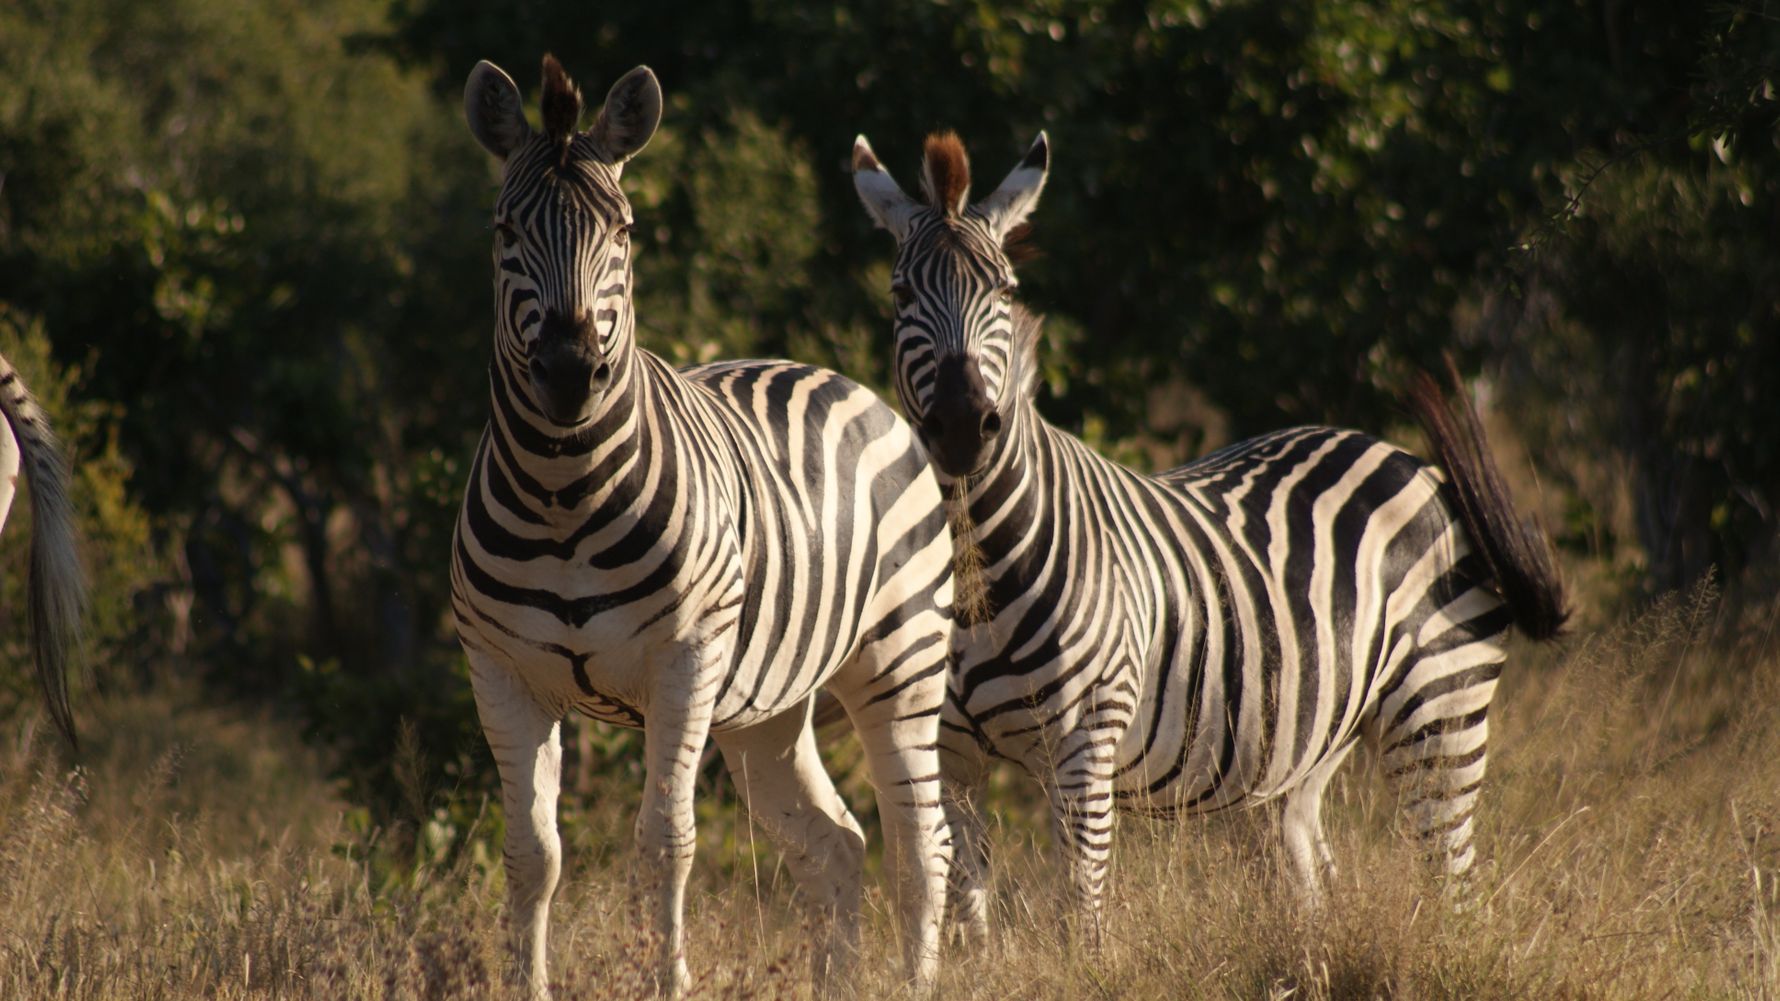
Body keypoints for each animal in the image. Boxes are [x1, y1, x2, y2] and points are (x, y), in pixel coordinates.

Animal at [454, 56, 954, 997]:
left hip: (901, 662)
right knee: (836, 843)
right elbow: (532, 855)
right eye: (504, 229)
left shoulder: (683, 661)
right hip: (767, 708)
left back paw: (916, 979)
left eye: (623, 231)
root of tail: (832, 374)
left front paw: (667, 978)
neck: (562, 493)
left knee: (921, 848)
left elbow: (665, 845)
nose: (569, 373)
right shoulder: (501, 671)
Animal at [851, 130, 1566, 941]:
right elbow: (971, 921)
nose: (964, 428)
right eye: (901, 296)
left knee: (1455, 888)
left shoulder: (1085, 744)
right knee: (1315, 878)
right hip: (1300, 749)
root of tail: (1410, 461)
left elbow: (1081, 920)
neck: (978, 573)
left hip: (1440, 710)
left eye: (1003, 292)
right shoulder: (947, 753)